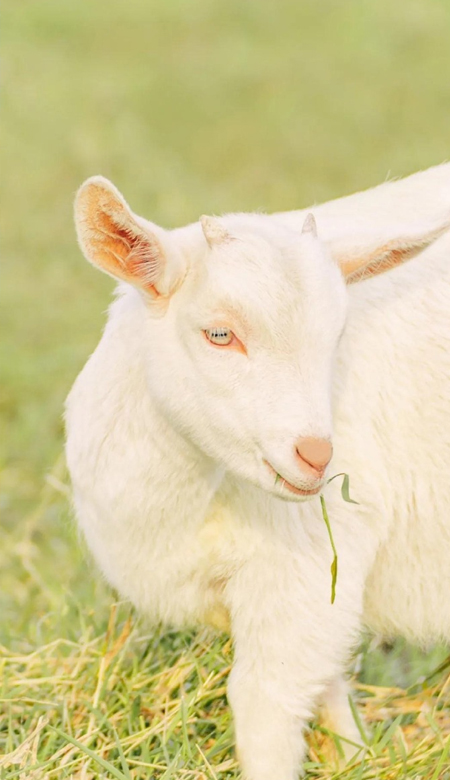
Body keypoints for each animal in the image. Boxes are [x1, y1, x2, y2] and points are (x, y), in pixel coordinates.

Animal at [65, 166, 450, 780]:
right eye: (219, 335)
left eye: (336, 338)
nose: (317, 455)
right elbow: (327, 686)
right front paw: (353, 755)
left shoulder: (306, 570)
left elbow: (263, 707)